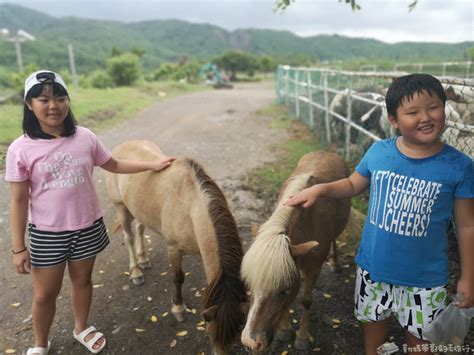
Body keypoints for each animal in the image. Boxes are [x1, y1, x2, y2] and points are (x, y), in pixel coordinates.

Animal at [106, 140, 246, 354]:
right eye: (211, 335)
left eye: (235, 335)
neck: (191, 205)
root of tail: (122, 145)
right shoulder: (173, 248)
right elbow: (178, 278)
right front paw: (178, 309)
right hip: (121, 207)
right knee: (129, 237)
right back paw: (136, 272)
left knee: (139, 228)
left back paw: (143, 260)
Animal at [241, 152, 352, 352]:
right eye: (249, 285)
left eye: (283, 291)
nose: (250, 342)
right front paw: (284, 330)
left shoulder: (314, 268)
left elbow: (306, 301)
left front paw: (302, 337)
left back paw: (335, 263)